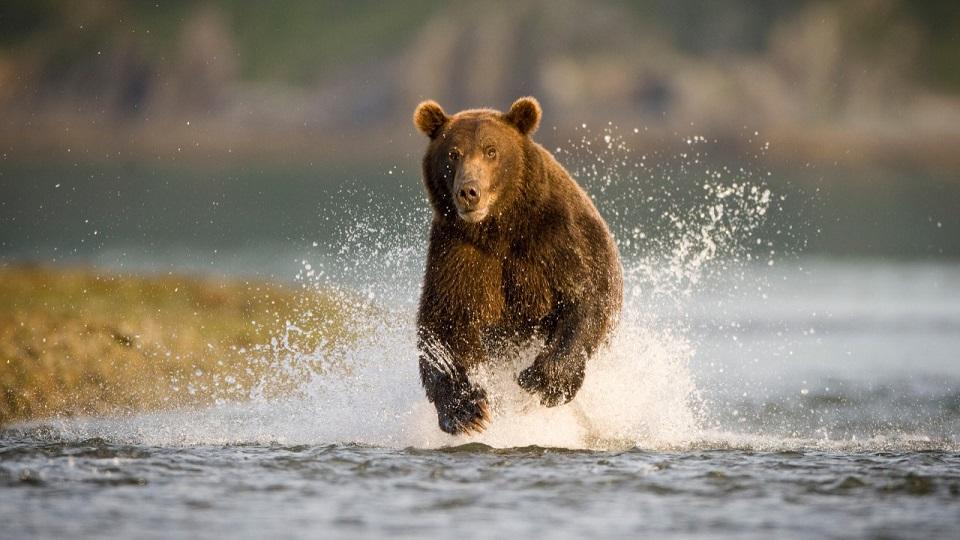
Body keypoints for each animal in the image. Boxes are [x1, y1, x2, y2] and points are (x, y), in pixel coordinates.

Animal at [412, 97, 624, 434]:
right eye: (453, 153)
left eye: (491, 150)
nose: (469, 191)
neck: (499, 228)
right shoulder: (457, 253)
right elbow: (445, 321)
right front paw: (467, 410)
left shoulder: (556, 238)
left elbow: (586, 296)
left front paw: (544, 380)